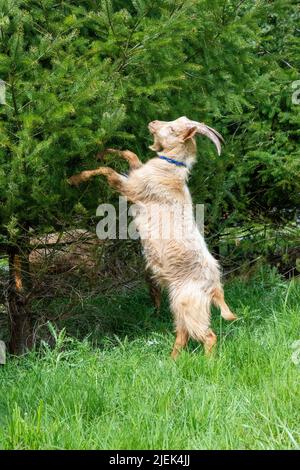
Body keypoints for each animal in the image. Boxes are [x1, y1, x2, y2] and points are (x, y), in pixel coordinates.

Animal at [68, 116, 237, 356]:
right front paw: (102, 152)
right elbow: (130, 154)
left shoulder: (132, 188)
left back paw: (208, 361)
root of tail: (214, 288)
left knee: (207, 335)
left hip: (189, 304)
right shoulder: (135, 174)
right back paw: (172, 360)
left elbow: (108, 171)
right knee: (182, 334)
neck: (170, 169)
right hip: (178, 304)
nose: (153, 122)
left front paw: (74, 179)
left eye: (173, 128)